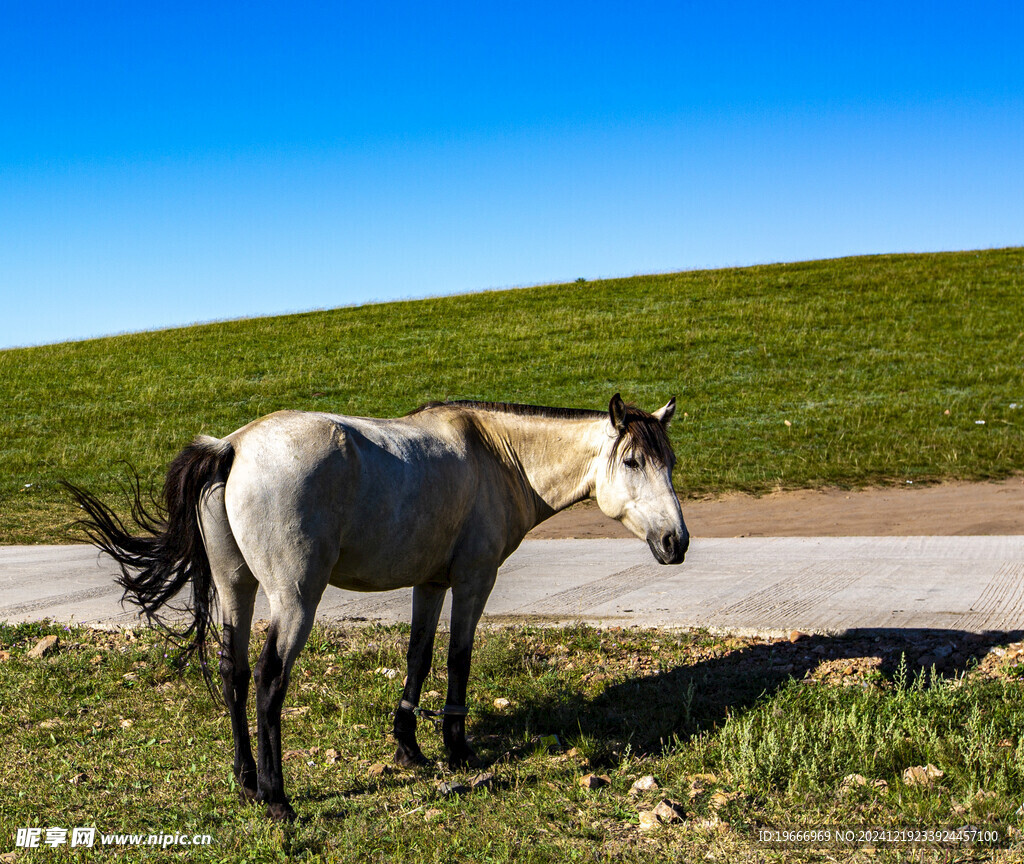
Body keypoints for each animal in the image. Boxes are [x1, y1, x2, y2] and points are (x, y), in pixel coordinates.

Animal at [70, 395, 688, 818]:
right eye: (632, 461)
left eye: (669, 462)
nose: (676, 542)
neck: (495, 453)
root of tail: (234, 447)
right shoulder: (474, 580)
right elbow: (458, 660)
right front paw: (456, 749)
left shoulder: (431, 584)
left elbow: (418, 656)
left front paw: (409, 749)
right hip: (295, 598)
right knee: (269, 681)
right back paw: (276, 797)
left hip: (235, 589)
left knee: (234, 674)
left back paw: (246, 780)